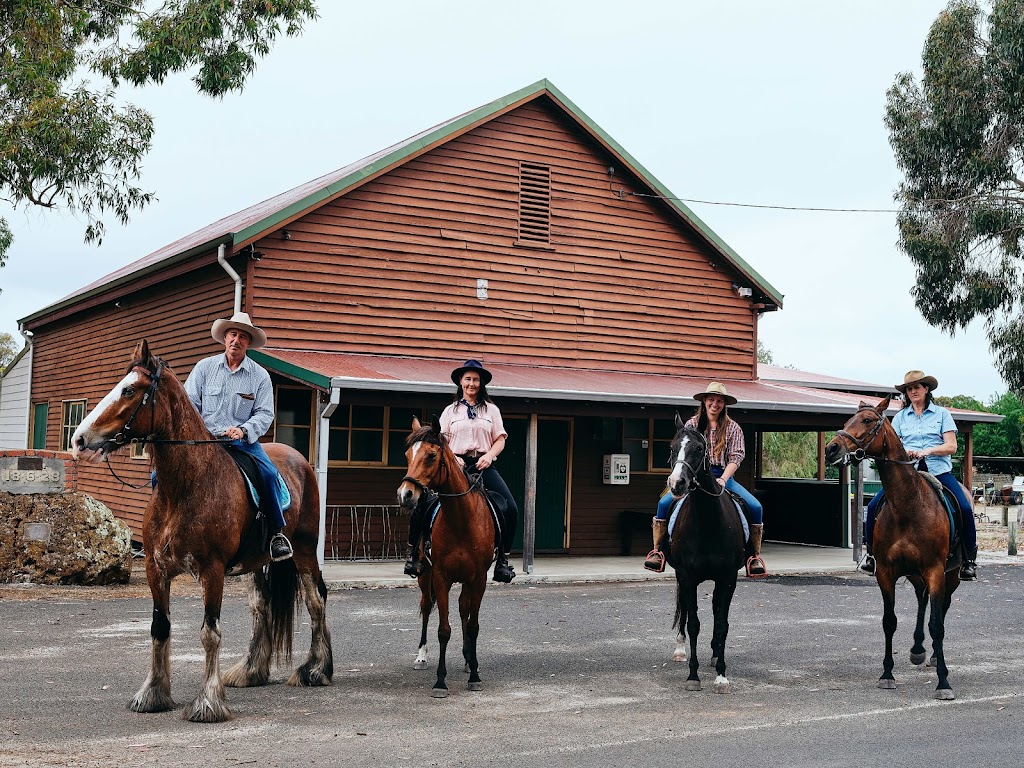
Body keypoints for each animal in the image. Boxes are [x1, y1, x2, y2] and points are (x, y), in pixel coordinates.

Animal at [71, 342, 331, 720]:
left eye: (129, 390)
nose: (79, 439)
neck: (184, 488)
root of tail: (299, 460)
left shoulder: (213, 571)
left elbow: (210, 633)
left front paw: (208, 702)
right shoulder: (155, 569)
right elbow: (159, 629)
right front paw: (153, 694)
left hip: (305, 549)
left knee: (315, 600)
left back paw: (315, 669)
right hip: (257, 563)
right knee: (261, 605)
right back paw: (251, 671)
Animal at [395, 417, 495, 700]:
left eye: (431, 456)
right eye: (407, 455)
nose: (405, 494)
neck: (461, 519)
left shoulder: (478, 578)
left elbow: (472, 625)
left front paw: (474, 674)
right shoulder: (440, 577)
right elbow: (443, 629)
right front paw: (440, 681)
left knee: (463, 609)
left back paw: (468, 658)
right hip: (425, 577)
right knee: (427, 607)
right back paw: (421, 657)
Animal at [663, 417, 745, 696]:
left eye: (699, 448)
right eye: (672, 447)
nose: (677, 483)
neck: (708, 521)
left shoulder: (728, 578)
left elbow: (721, 623)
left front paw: (721, 675)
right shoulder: (687, 577)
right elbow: (693, 623)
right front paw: (693, 676)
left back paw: (715, 654)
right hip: (682, 577)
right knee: (685, 612)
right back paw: (680, 650)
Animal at [823, 399, 958, 700]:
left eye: (868, 420)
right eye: (849, 420)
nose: (831, 449)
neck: (909, 506)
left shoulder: (935, 570)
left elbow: (938, 624)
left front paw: (943, 682)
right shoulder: (886, 572)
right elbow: (889, 621)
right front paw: (887, 674)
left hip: (950, 575)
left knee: (942, 607)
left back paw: (933, 655)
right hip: (916, 575)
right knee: (922, 599)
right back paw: (918, 649)